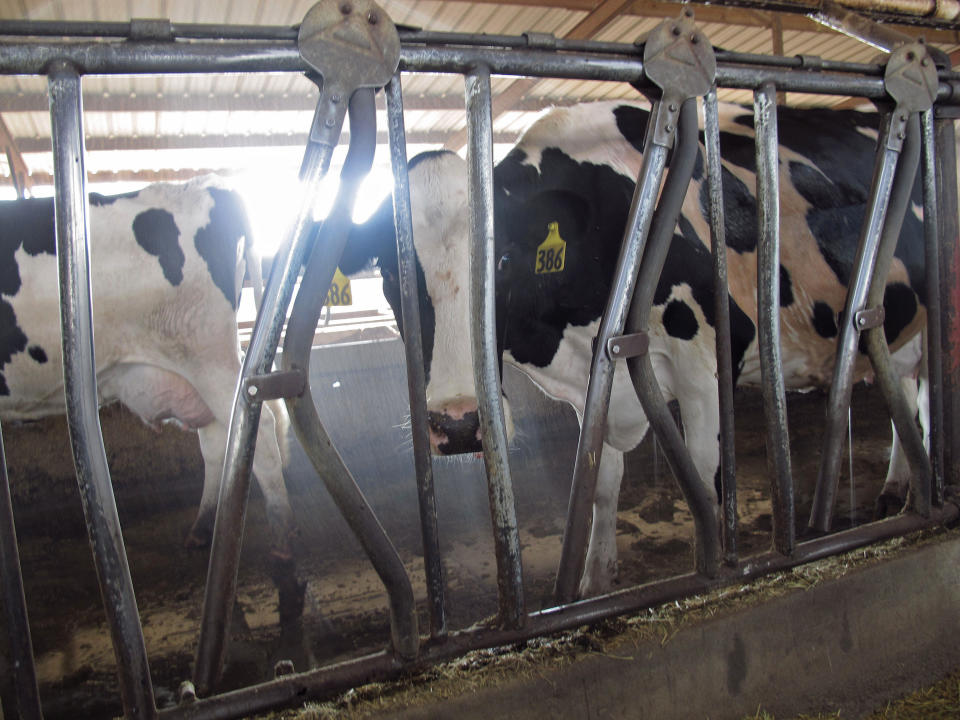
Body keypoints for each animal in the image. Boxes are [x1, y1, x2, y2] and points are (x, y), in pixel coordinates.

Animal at [0, 176, 292, 556]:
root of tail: (207, 183)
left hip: (209, 359)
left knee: (262, 430)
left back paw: (282, 537)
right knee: (218, 441)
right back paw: (202, 527)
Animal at [344, 100, 936, 596]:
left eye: (504, 260)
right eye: (390, 273)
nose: (461, 423)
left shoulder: (707, 362)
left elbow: (704, 482)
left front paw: (711, 570)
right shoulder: (595, 387)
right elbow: (601, 485)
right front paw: (593, 583)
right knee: (905, 394)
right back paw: (898, 489)